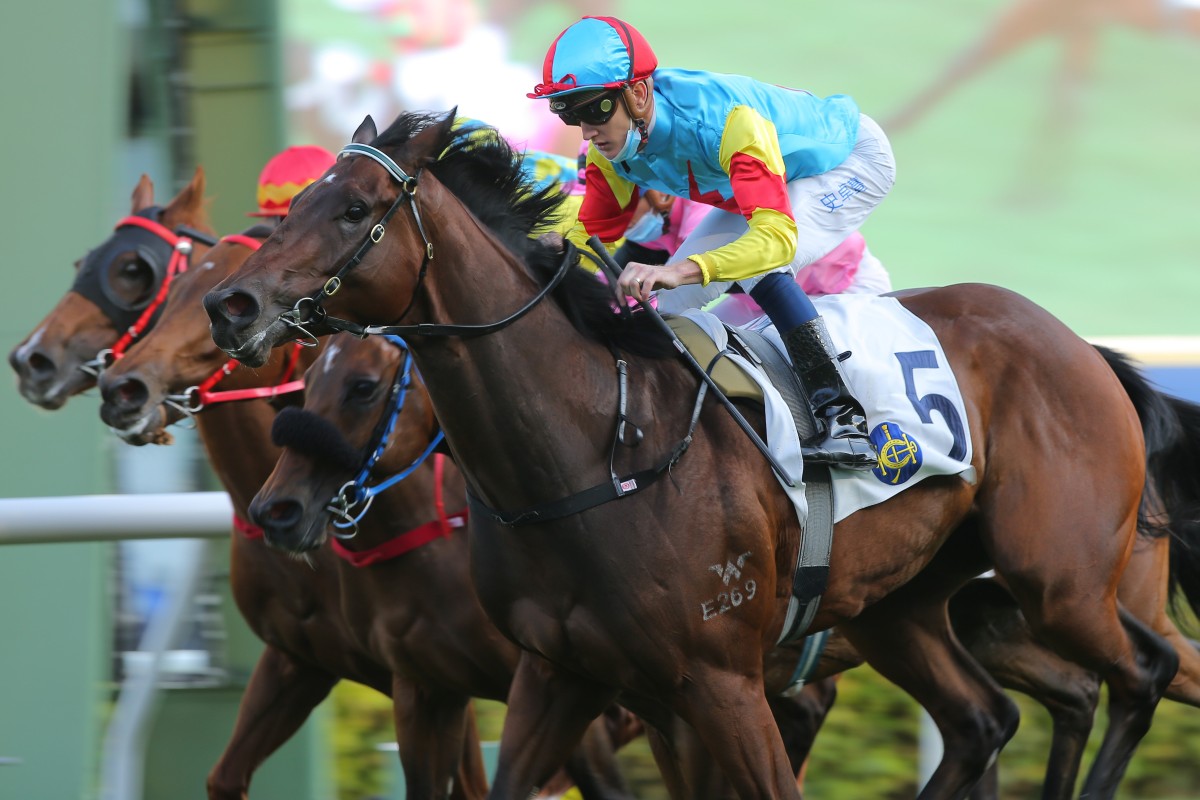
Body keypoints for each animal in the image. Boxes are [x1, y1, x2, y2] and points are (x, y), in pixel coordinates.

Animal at [97, 231, 638, 800]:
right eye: (172, 294)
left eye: (363, 388)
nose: (122, 388)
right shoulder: (313, 664)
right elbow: (225, 777)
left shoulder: (546, 684)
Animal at [201, 112, 1176, 800]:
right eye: (295, 208)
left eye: (354, 210)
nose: (230, 304)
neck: (594, 451)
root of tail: (1086, 348)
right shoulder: (558, 674)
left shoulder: (719, 683)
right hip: (898, 606)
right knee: (982, 721)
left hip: (1059, 580)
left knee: (1142, 674)